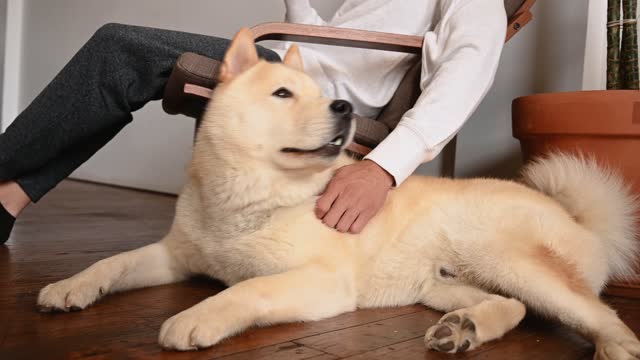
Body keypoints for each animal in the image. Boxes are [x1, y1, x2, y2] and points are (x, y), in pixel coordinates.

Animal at [38, 28, 640, 360]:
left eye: (328, 95)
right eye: (284, 93)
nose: (345, 109)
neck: (248, 198)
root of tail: (580, 220)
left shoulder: (321, 283)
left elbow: (247, 290)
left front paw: (198, 317)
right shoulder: (174, 257)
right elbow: (113, 263)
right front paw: (70, 287)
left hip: (504, 255)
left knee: (597, 313)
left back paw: (615, 347)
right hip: (442, 284)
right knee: (513, 306)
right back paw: (465, 330)